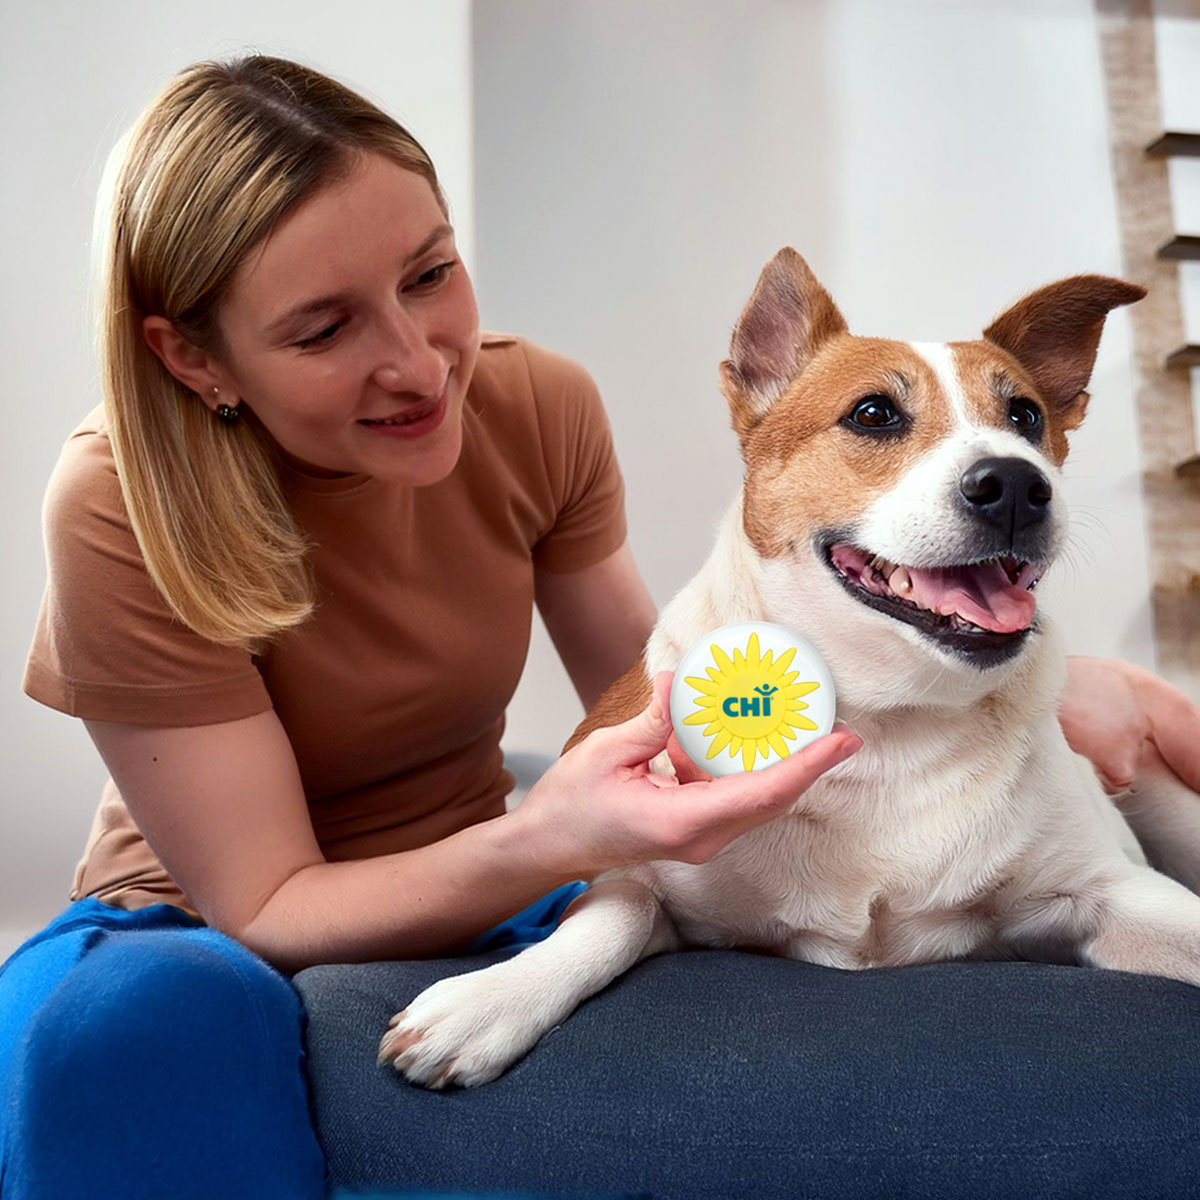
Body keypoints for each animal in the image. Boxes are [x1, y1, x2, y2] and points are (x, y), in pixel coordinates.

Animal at [374, 250, 1200, 1089]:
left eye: (1027, 417)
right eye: (873, 414)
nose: (1017, 486)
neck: (889, 724)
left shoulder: (1106, 889)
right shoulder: (637, 870)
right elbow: (616, 912)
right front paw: (492, 998)